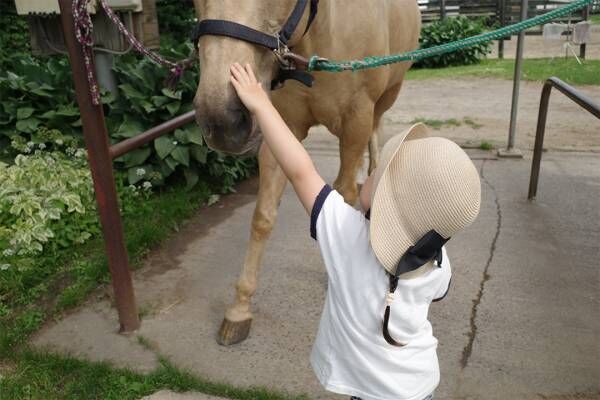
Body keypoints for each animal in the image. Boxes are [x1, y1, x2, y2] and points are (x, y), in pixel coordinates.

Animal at [195, 0, 420, 344]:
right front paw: (239, 309)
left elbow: (343, 196)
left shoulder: (356, 119)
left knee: (375, 136)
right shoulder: (280, 124)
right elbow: (263, 217)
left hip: (386, 96)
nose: (222, 121)